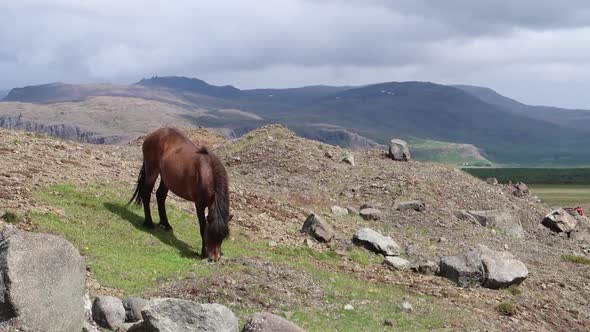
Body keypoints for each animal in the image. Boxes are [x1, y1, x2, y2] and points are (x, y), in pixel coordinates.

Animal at [128, 126, 232, 260]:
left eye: (222, 237)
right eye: (211, 234)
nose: (214, 258)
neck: (207, 174)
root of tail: (153, 134)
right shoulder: (199, 205)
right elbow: (202, 226)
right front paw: (203, 252)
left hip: (166, 178)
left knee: (160, 195)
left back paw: (165, 224)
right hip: (152, 170)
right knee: (146, 193)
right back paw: (149, 223)